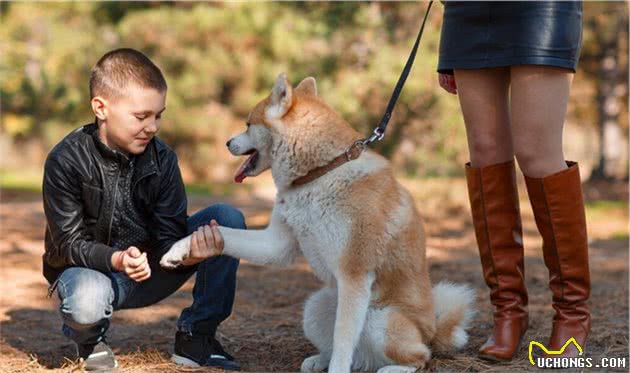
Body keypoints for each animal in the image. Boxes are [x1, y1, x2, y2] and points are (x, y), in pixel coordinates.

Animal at [160, 73, 476, 372]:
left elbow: (344, 340)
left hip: (381, 321)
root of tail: (432, 332)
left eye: (248, 124)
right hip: (315, 308)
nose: (227, 142)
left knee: (420, 357)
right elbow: (223, 235)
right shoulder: (277, 245)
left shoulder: (354, 274)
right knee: (351, 351)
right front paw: (181, 249)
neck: (320, 173)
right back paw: (320, 360)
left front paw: (338, 370)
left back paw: (394, 368)